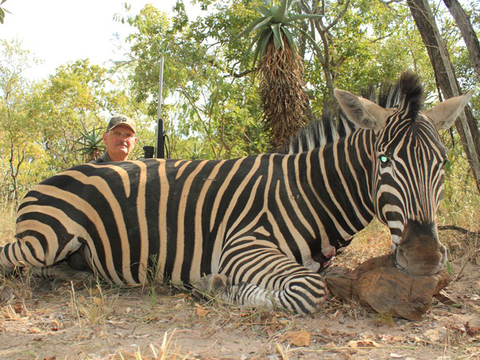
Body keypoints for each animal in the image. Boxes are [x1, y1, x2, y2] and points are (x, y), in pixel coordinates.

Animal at [0, 72, 472, 312]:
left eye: (442, 162)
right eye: (384, 160)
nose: (424, 259)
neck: (309, 191)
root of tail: (45, 181)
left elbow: (325, 279)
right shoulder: (242, 246)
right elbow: (307, 291)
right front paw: (216, 288)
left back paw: (75, 276)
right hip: (47, 238)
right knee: (11, 257)